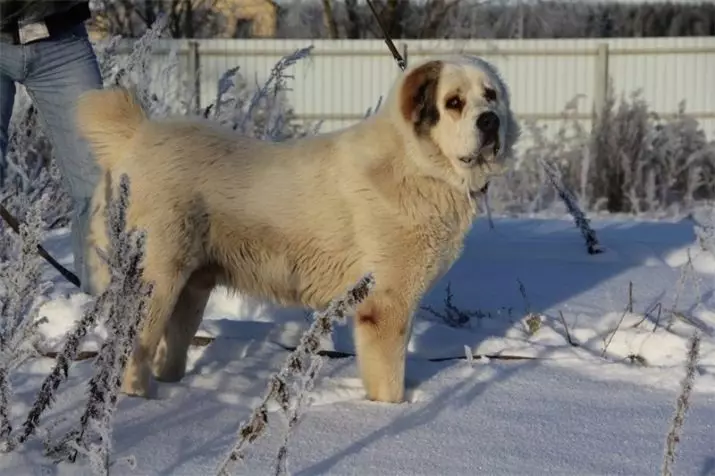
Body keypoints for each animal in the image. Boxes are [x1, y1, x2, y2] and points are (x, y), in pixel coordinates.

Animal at [75, 56, 520, 406]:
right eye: (453, 103)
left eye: (491, 95)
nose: (490, 120)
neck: (418, 164)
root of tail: (135, 136)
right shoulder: (386, 306)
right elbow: (389, 382)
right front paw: (389, 412)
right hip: (157, 284)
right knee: (131, 352)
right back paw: (140, 402)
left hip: (191, 290)